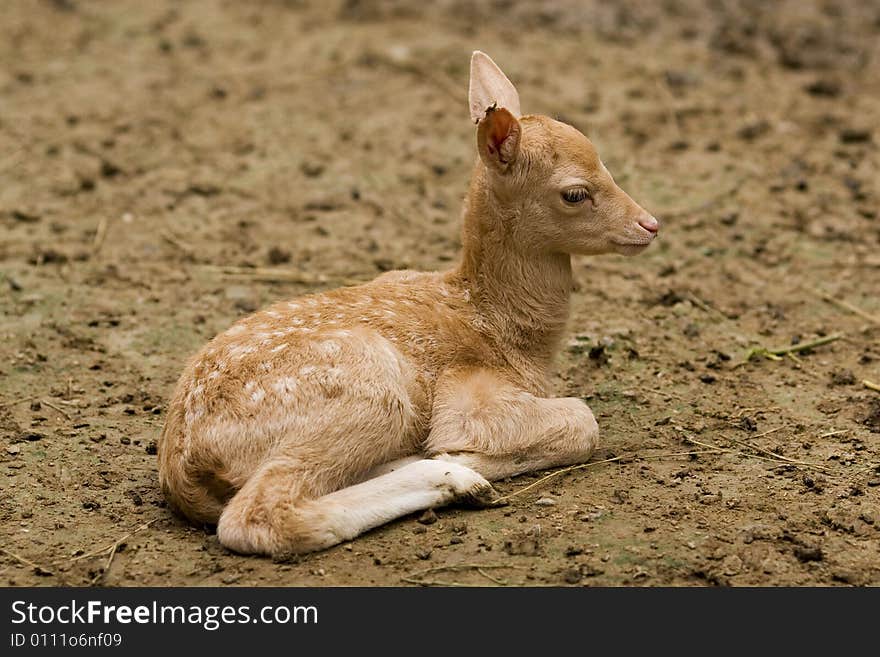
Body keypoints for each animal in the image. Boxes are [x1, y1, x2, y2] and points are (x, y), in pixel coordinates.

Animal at [158, 51, 656, 556]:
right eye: (574, 193)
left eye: (606, 164)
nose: (649, 224)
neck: (508, 331)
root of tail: (181, 466)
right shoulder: (468, 395)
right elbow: (582, 420)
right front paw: (460, 453)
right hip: (367, 388)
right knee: (257, 515)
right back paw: (456, 476)